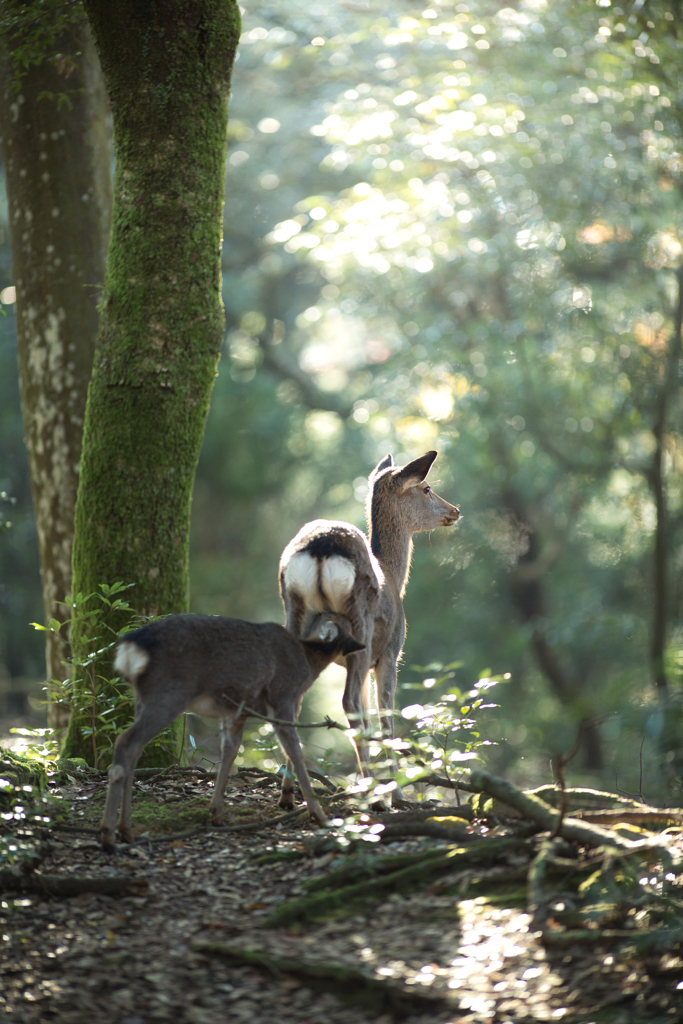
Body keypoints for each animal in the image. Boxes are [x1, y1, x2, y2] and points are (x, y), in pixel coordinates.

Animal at [278, 452, 458, 770]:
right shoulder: (390, 652)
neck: (395, 578)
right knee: (348, 704)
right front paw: (394, 781)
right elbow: (385, 720)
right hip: (360, 627)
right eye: (426, 488)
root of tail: (320, 551)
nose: (456, 510)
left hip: (294, 611)